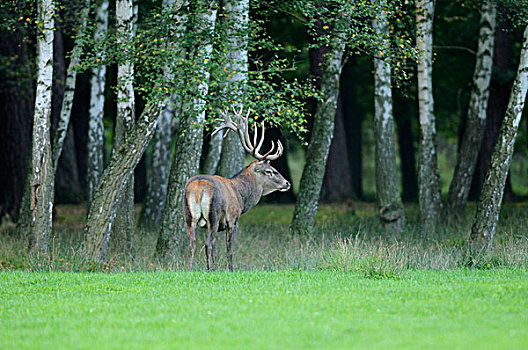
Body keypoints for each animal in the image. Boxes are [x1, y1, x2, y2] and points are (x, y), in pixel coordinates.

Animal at [180, 106, 288, 270]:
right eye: (269, 171)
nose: (287, 183)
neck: (241, 196)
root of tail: (198, 187)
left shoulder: (220, 225)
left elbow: (216, 251)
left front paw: (216, 269)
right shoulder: (232, 219)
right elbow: (229, 249)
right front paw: (230, 270)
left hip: (188, 215)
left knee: (193, 244)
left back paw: (192, 269)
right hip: (213, 214)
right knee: (206, 244)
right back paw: (207, 270)